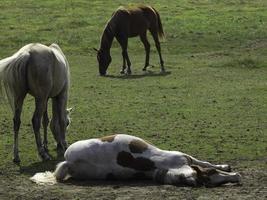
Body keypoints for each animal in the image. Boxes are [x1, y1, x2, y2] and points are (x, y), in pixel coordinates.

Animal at [30, 134, 242, 187]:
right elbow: (206, 162)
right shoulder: (185, 156)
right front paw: (226, 166)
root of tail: (68, 162)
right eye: (211, 176)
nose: (237, 177)